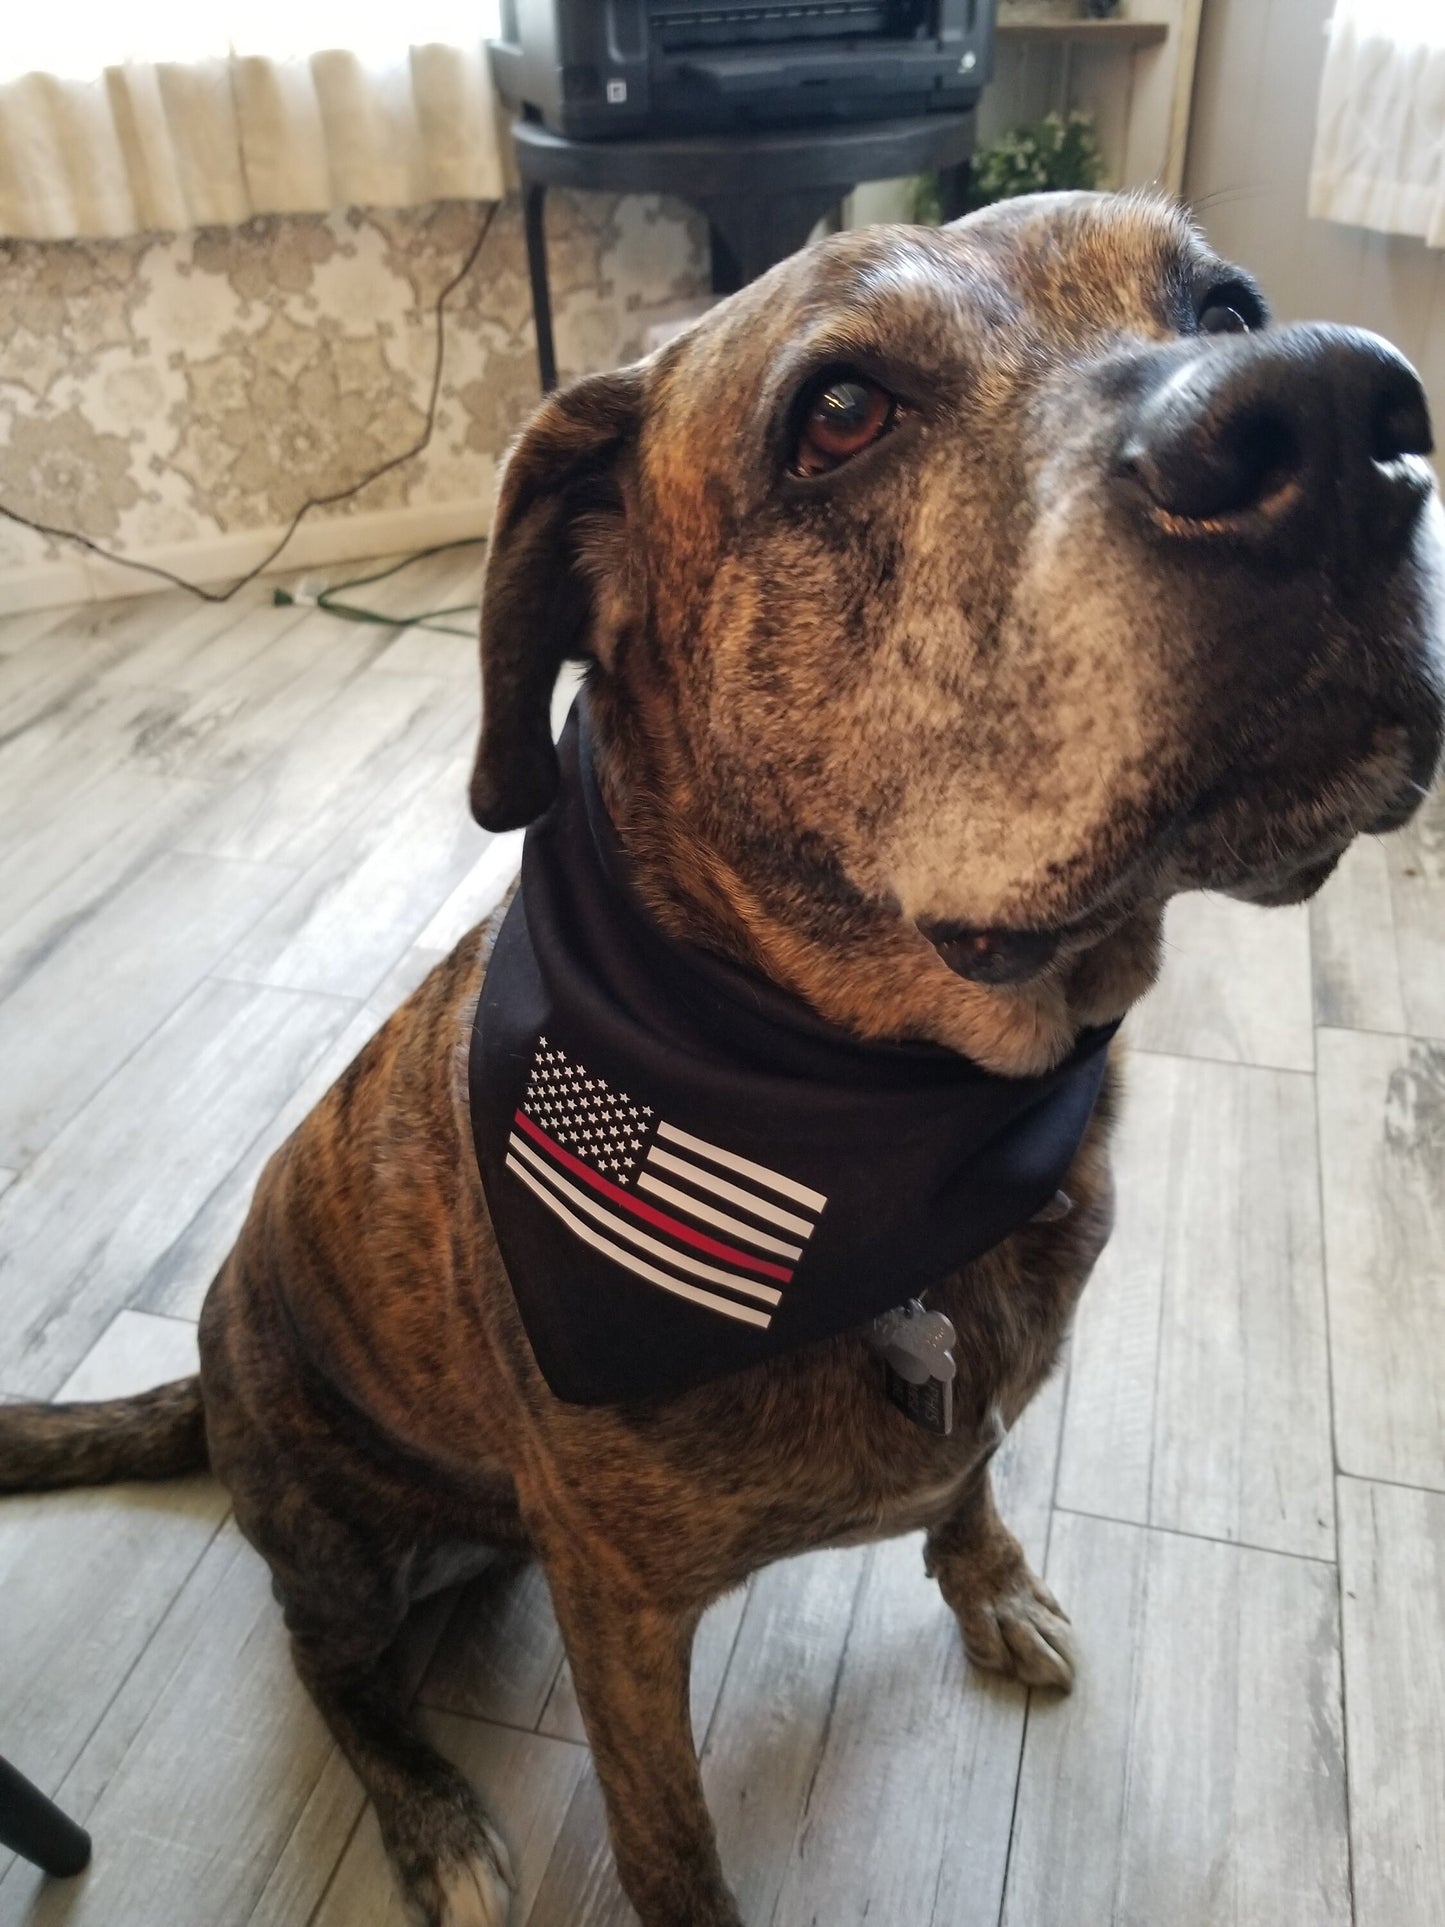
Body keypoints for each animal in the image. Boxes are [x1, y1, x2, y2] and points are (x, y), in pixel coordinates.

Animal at [2, 199, 1445, 1927]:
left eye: (1227, 306)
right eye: (839, 413)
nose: (1342, 417)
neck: (886, 1111)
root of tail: (211, 1368)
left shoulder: (959, 1409)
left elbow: (969, 1476)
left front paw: (993, 1586)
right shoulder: (620, 1612)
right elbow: (666, 1835)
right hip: (338, 1535)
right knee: (324, 1665)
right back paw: (428, 1813)